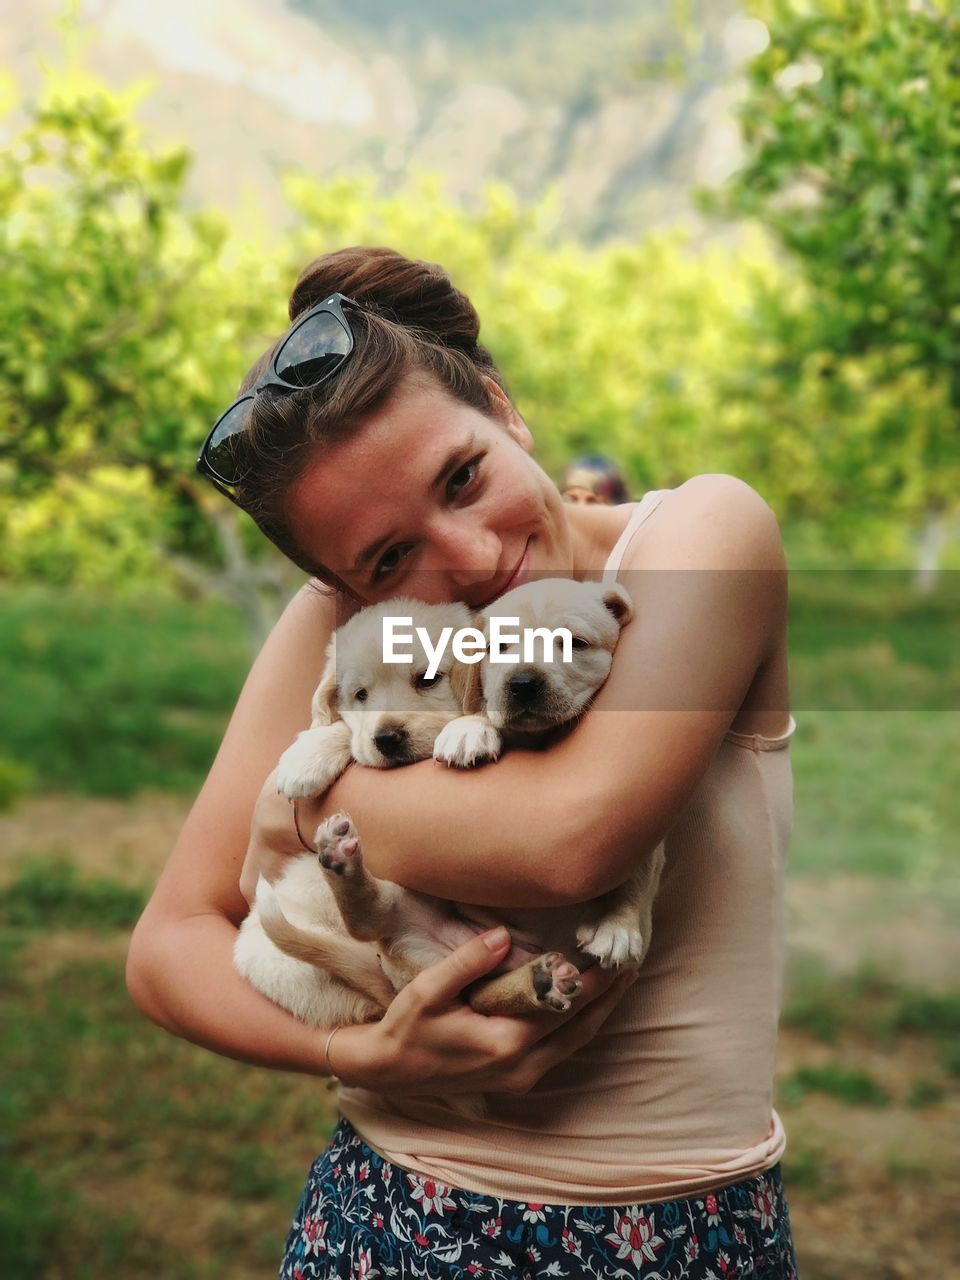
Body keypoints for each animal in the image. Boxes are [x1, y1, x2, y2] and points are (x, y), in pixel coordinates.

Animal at [236, 581, 665, 1039]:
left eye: (427, 679)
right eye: (359, 695)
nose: (387, 738)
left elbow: (639, 866)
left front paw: (618, 926)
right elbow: (346, 733)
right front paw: (307, 755)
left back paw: (542, 979)